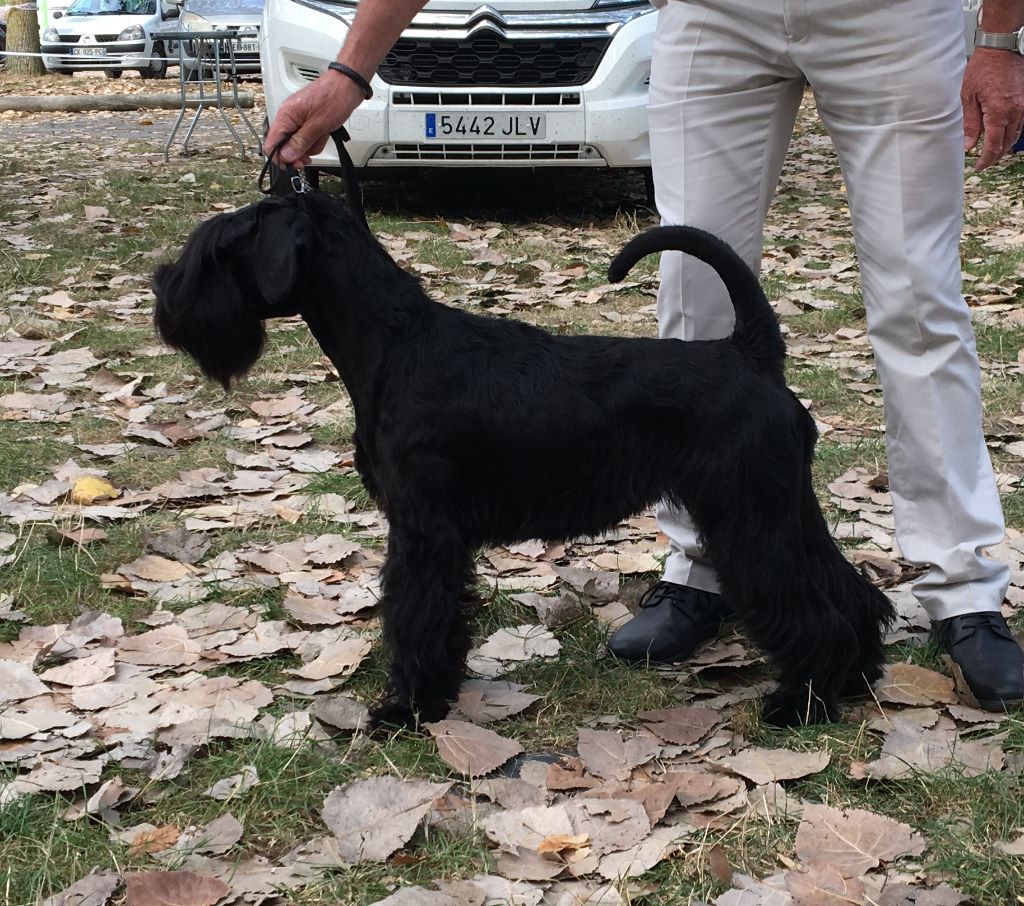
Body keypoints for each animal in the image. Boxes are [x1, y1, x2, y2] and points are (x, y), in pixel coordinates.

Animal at [153, 192, 897, 728]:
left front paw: (408, 708)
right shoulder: (437, 535)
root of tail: (750, 353)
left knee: (808, 604)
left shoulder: (422, 530)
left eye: (219, 250)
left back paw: (802, 703)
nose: (164, 294)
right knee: (846, 587)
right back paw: (857, 674)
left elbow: (414, 615)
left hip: (750, 519)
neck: (394, 342)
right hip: (780, 509)